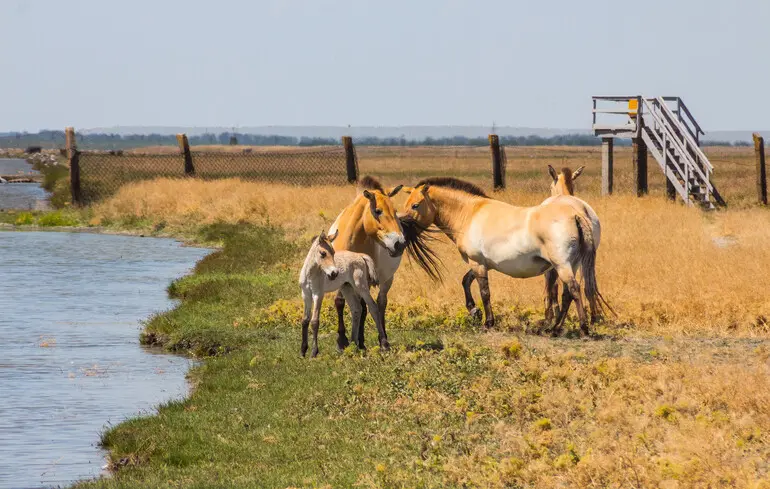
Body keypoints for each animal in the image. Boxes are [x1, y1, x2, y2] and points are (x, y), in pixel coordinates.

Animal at [402, 176, 608, 336]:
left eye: (415, 205)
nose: (402, 226)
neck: (469, 213)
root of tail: (576, 214)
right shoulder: (482, 263)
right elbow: (465, 281)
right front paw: (474, 311)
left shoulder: (477, 263)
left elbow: (485, 292)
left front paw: (488, 322)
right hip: (571, 265)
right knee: (567, 295)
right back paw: (555, 329)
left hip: (562, 265)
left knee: (574, 290)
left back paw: (582, 328)